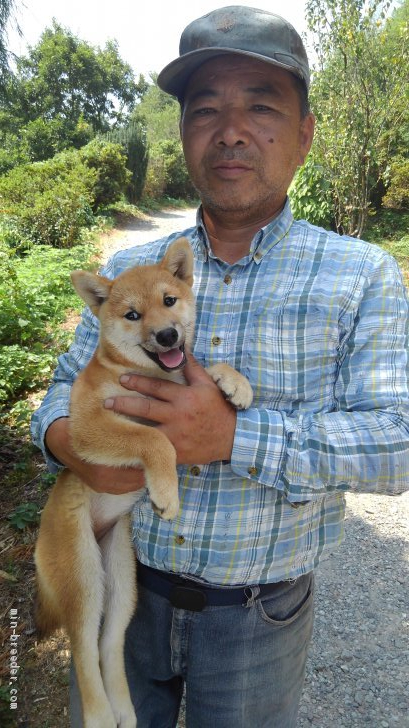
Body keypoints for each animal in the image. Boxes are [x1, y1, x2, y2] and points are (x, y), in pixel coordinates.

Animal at [34, 239, 252, 728]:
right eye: (133, 315)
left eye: (169, 301)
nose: (168, 336)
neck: (154, 374)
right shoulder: (89, 427)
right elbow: (153, 438)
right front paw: (167, 492)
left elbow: (207, 365)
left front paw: (236, 383)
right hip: (82, 573)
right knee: (82, 646)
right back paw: (99, 715)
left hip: (121, 578)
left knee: (108, 643)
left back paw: (124, 709)